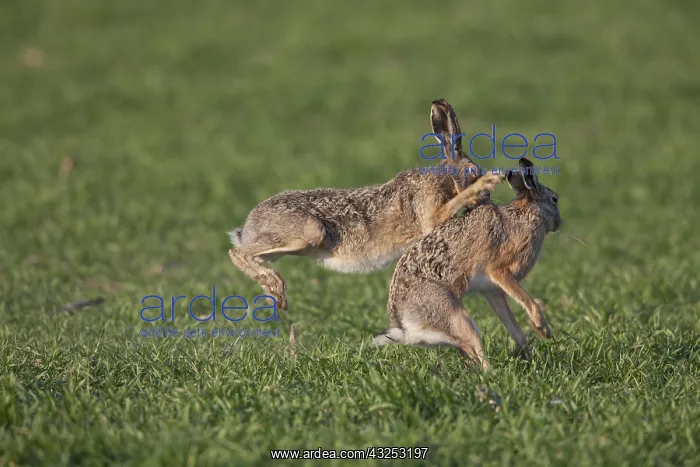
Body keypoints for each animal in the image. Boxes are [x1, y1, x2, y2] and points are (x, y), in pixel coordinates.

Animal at [228, 99, 499, 310]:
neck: (443, 178)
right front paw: (486, 183)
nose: (486, 201)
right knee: (236, 253)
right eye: (473, 171)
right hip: (308, 232)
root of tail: (248, 227)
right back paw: (276, 288)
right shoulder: (429, 213)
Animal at [373, 157, 560, 371]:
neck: (527, 214)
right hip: (458, 318)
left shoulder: (493, 291)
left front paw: (528, 354)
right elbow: (528, 300)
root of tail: (406, 328)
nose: (559, 223)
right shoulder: (499, 271)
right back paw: (492, 374)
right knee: (478, 354)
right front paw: (543, 330)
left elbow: (514, 327)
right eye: (554, 199)